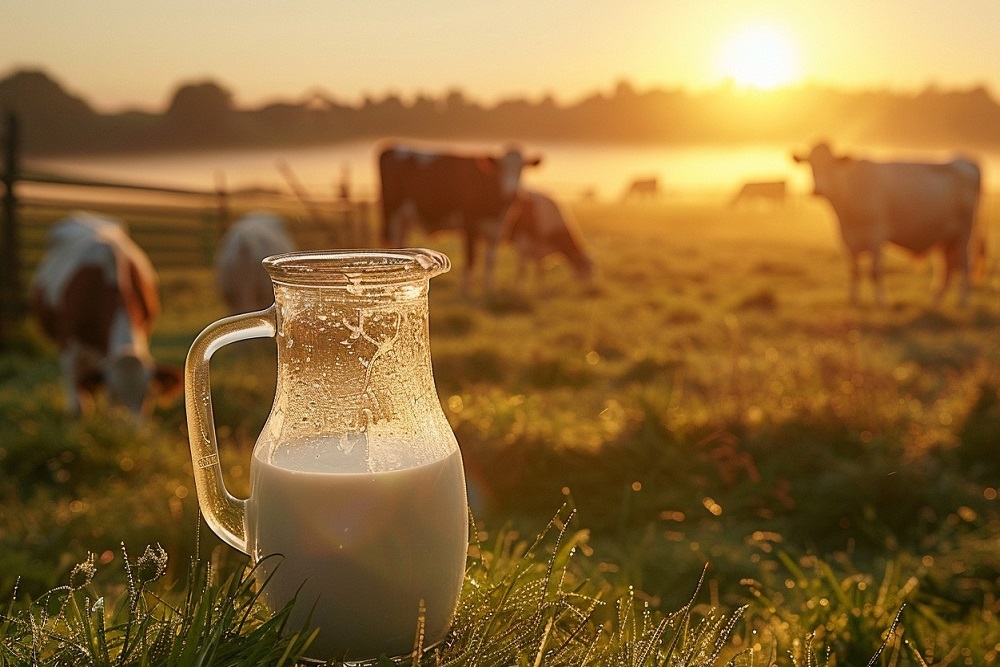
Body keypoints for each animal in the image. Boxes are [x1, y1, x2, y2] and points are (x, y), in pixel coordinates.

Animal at [30, 211, 184, 418]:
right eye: (115, 397)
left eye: (149, 397)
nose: (134, 429)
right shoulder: (67, 339)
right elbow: (74, 383)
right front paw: (78, 413)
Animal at [378, 142, 544, 290]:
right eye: (501, 168)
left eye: (523, 168)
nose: (513, 194)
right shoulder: (469, 226)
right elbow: (470, 259)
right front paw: (466, 292)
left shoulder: (497, 229)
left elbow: (490, 261)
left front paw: (488, 290)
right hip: (393, 217)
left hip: (404, 220)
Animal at [792, 144, 980, 308]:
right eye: (811, 164)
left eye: (831, 165)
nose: (817, 190)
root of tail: (965, 161)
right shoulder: (847, 239)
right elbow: (854, 271)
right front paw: (853, 301)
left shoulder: (876, 237)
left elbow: (875, 272)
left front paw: (880, 302)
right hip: (945, 238)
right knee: (947, 269)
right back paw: (934, 303)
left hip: (964, 234)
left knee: (964, 264)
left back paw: (962, 301)